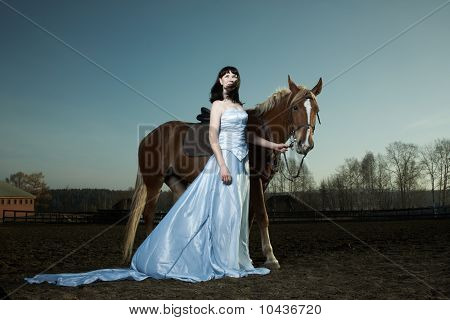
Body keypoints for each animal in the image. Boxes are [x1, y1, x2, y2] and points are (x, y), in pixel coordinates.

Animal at [121, 74, 322, 268]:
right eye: (295, 107)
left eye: (316, 109)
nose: (305, 144)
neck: (262, 131)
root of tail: (148, 136)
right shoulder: (255, 180)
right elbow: (262, 216)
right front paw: (271, 258)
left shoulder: (263, 182)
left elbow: (249, 218)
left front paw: (245, 256)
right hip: (154, 182)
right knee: (148, 215)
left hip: (175, 181)